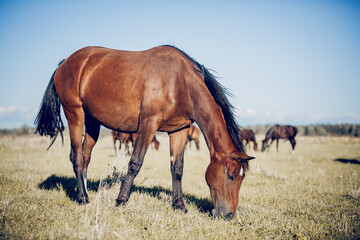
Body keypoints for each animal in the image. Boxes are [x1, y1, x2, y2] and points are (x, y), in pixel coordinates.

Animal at [33, 45, 253, 219]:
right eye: (231, 176)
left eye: (242, 178)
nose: (228, 214)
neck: (179, 81)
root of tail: (65, 62)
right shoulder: (148, 124)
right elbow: (135, 163)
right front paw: (121, 200)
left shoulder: (180, 129)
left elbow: (177, 168)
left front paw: (179, 205)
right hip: (75, 115)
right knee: (77, 157)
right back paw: (82, 197)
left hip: (93, 122)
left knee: (85, 157)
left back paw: (85, 192)